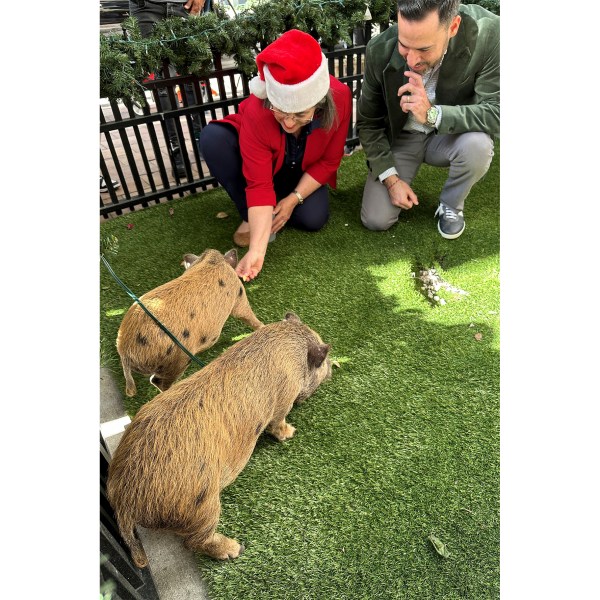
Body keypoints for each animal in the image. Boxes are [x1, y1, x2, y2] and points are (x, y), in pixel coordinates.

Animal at [108, 312, 332, 568]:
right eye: (324, 359)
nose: (333, 368)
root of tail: (125, 498)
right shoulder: (283, 402)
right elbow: (278, 424)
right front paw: (291, 432)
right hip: (201, 504)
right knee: (194, 541)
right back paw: (235, 548)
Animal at [116, 250, 262, 398]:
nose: (234, 251)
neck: (211, 261)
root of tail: (124, 350)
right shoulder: (238, 294)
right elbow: (247, 315)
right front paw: (262, 326)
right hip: (178, 359)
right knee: (157, 380)